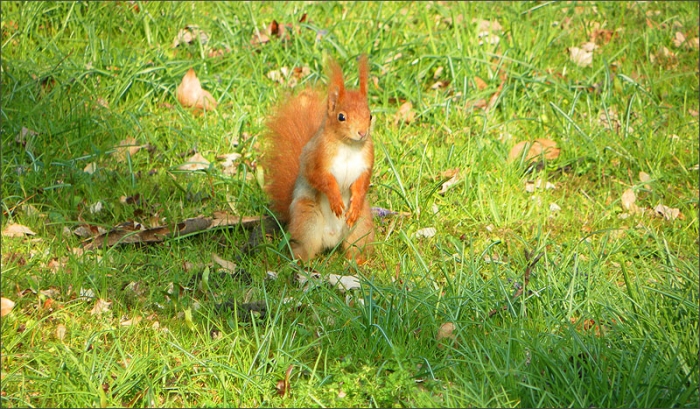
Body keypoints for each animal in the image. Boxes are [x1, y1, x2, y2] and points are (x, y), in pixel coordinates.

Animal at [260, 55, 375, 264]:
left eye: (370, 115)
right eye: (341, 117)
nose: (362, 133)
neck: (348, 146)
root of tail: (332, 239)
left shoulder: (366, 160)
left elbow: (362, 182)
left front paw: (353, 205)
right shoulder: (316, 157)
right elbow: (319, 178)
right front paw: (336, 200)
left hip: (361, 226)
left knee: (355, 246)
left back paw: (358, 262)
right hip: (308, 220)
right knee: (305, 247)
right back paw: (302, 263)